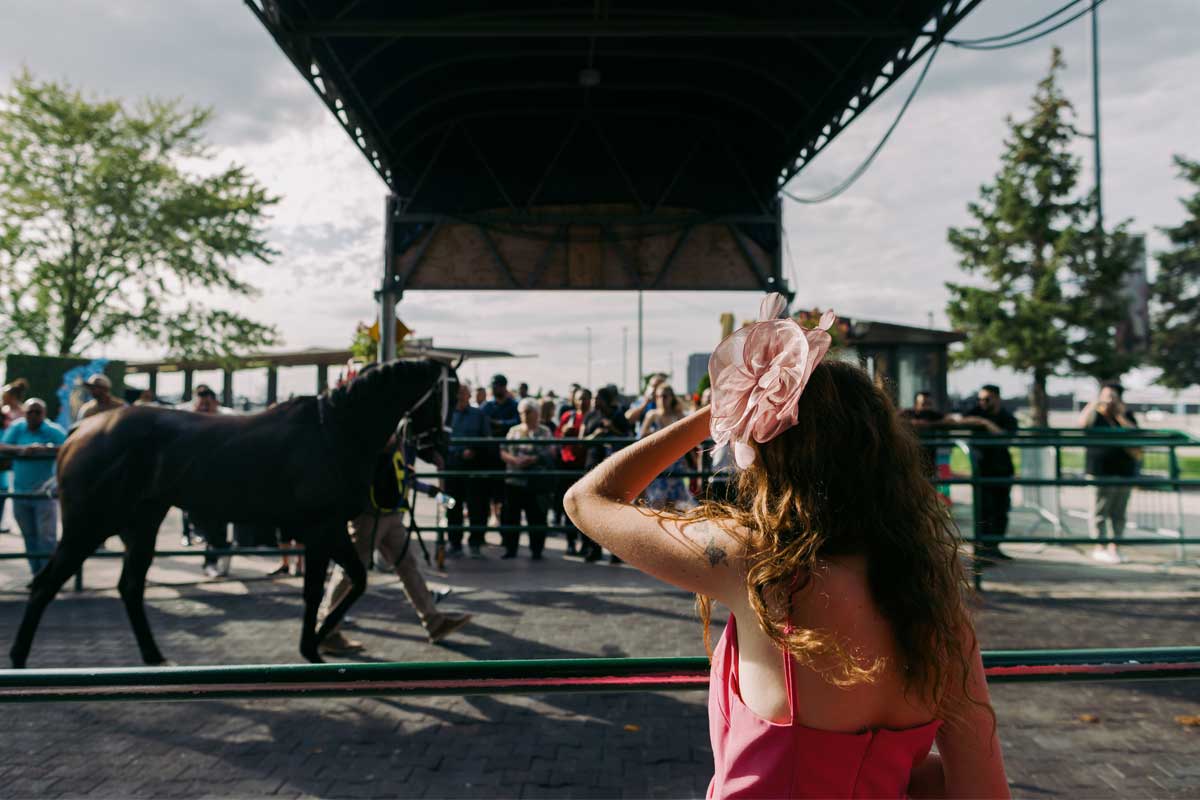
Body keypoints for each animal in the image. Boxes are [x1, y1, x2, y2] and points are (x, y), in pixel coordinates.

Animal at [7, 359, 456, 666]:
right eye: (442, 394)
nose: (440, 446)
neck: (334, 430)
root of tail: (80, 432)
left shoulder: (328, 530)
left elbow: (351, 581)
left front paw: (315, 643)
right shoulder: (320, 528)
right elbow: (325, 589)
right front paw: (313, 644)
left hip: (142, 523)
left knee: (129, 587)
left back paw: (155, 657)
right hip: (89, 525)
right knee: (45, 585)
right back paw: (19, 658)